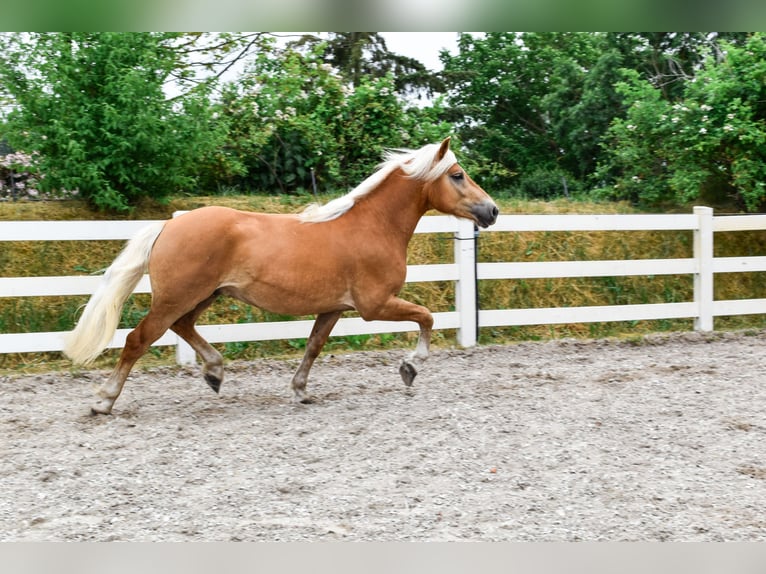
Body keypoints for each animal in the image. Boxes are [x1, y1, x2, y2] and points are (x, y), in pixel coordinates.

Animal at [64, 137, 498, 416]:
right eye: (457, 175)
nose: (492, 211)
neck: (373, 226)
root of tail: (169, 224)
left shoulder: (334, 308)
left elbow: (314, 347)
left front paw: (300, 392)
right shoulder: (374, 306)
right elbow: (427, 317)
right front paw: (410, 367)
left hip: (203, 295)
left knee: (182, 327)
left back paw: (215, 372)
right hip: (179, 296)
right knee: (138, 339)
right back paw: (103, 401)